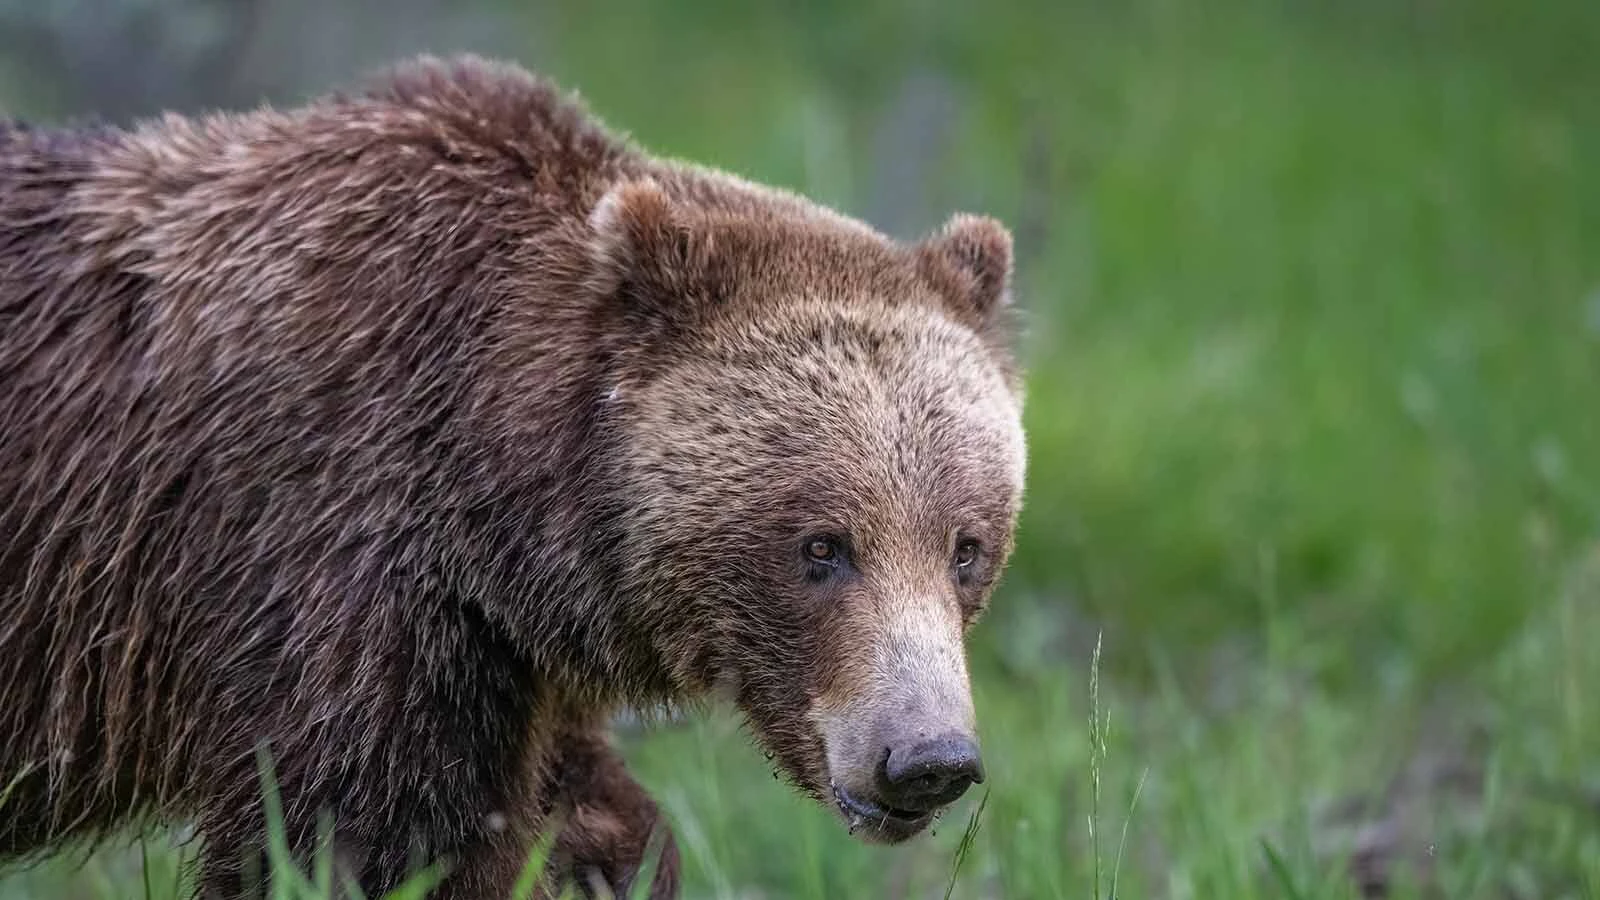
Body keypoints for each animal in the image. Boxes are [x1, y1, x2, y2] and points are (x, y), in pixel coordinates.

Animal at [0, 54, 1028, 899]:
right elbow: (364, 837)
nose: (926, 758)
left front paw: (616, 858)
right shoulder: (322, 559)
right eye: (821, 546)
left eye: (966, 547)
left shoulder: (502, 648)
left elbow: (570, 804)